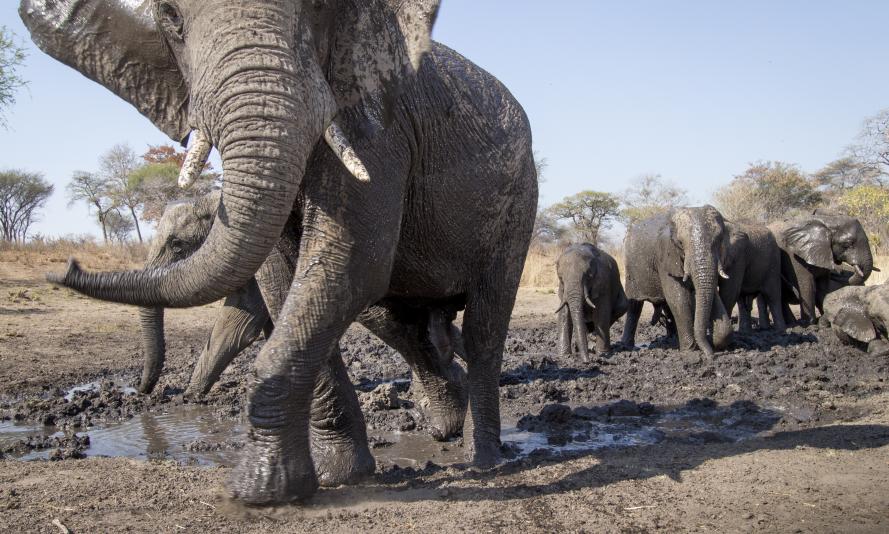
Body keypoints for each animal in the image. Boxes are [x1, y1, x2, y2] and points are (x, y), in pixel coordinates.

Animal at [24, 0, 536, 504]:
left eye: (178, 244)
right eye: (171, 18)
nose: (66, 266)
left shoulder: (377, 126)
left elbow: (347, 263)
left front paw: (261, 488)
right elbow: (284, 282)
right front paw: (335, 475)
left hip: (517, 201)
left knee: (484, 325)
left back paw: (483, 456)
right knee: (394, 319)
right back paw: (445, 418)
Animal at [620, 207, 732, 358]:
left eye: (719, 240)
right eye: (681, 243)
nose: (711, 356)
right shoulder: (665, 256)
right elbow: (678, 299)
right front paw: (690, 351)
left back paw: (672, 340)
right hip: (631, 268)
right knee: (635, 304)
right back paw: (627, 346)